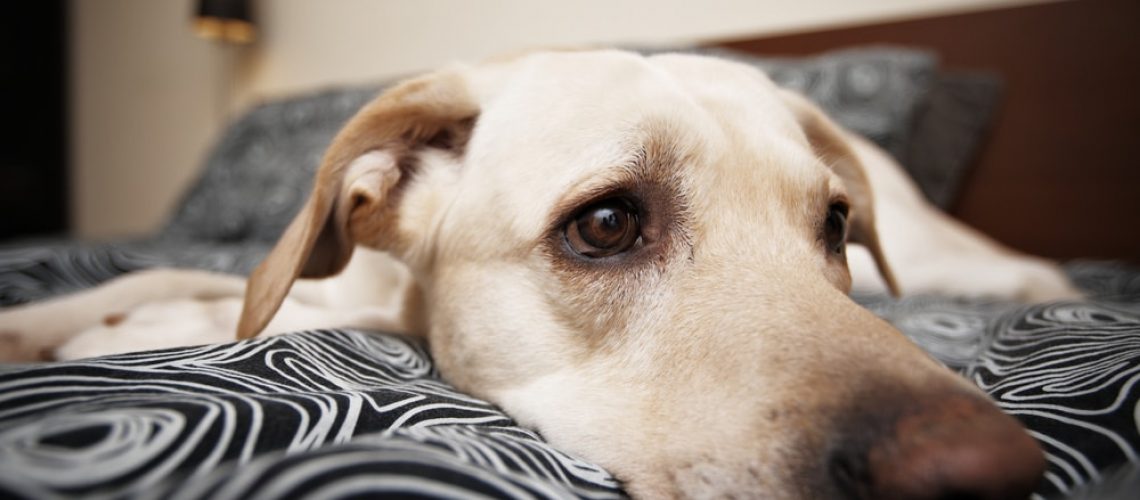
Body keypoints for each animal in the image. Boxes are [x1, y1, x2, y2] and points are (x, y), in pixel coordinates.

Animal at [0, 50, 1076, 500]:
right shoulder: (330, 283)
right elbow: (161, 281)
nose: (989, 474)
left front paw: (137, 331)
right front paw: (46, 322)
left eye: (834, 227)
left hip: (940, 252)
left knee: (1024, 270)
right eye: (605, 224)